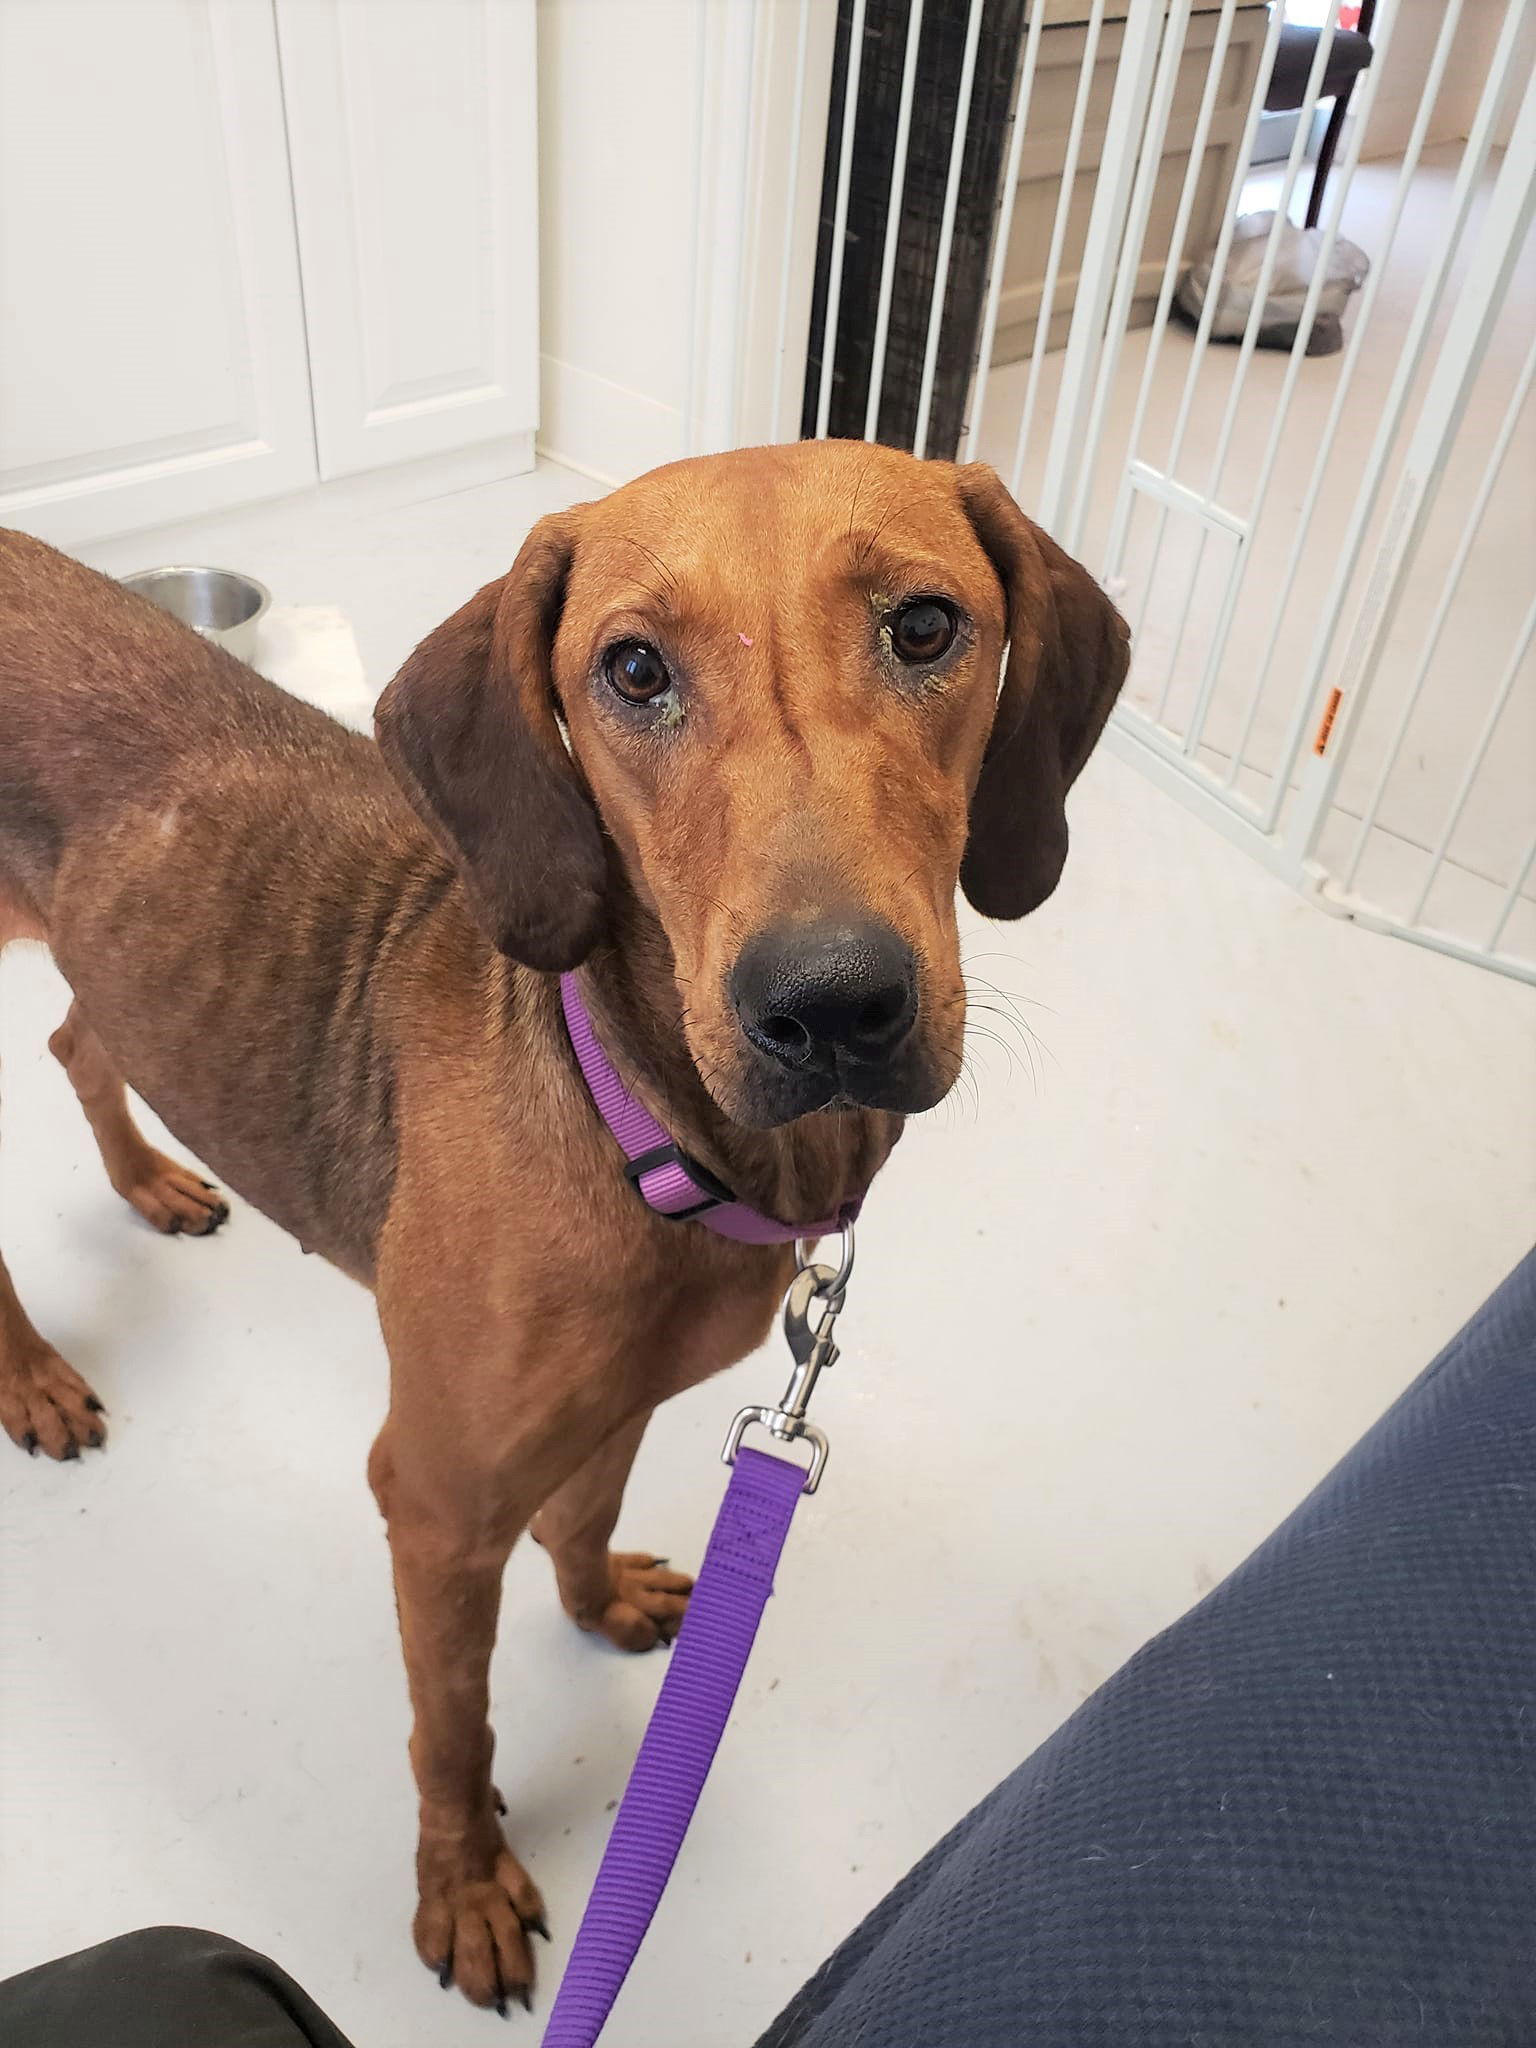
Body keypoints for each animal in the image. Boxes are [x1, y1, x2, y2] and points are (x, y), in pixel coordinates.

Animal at [0, 440, 1130, 2007]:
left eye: (923, 627)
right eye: (634, 668)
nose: (832, 1005)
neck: (639, 1130)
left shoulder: (631, 1403)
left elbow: (585, 1516)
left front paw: (599, 1608)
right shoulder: (434, 1505)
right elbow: (454, 1725)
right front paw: (463, 1880)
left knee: (72, 1037)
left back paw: (146, 1181)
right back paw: (31, 1375)